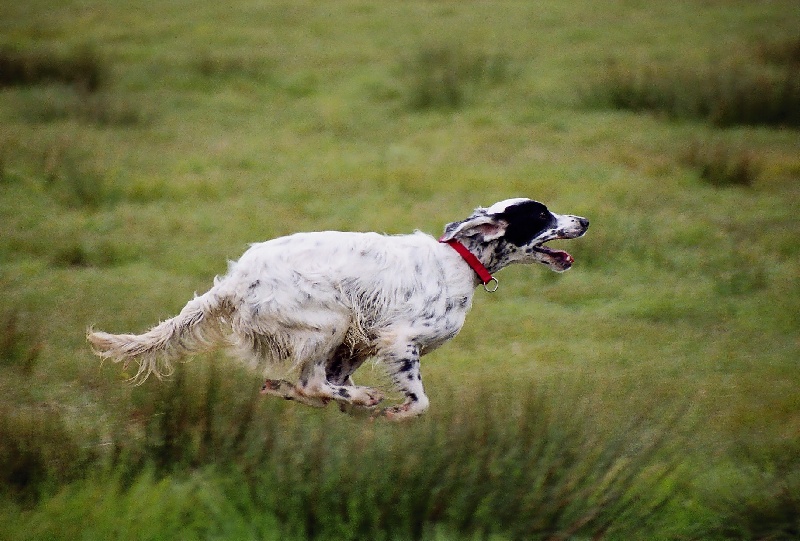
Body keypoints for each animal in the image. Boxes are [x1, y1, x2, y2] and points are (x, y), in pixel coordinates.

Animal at [87, 197, 588, 418]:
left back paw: (294, 390)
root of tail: (236, 279)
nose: (583, 219)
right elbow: (419, 401)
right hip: (329, 320)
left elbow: (333, 382)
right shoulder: (398, 340)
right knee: (311, 382)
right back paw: (360, 397)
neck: (460, 261)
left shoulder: (362, 343)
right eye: (541, 215)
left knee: (310, 385)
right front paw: (391, 412)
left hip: (341, 330)